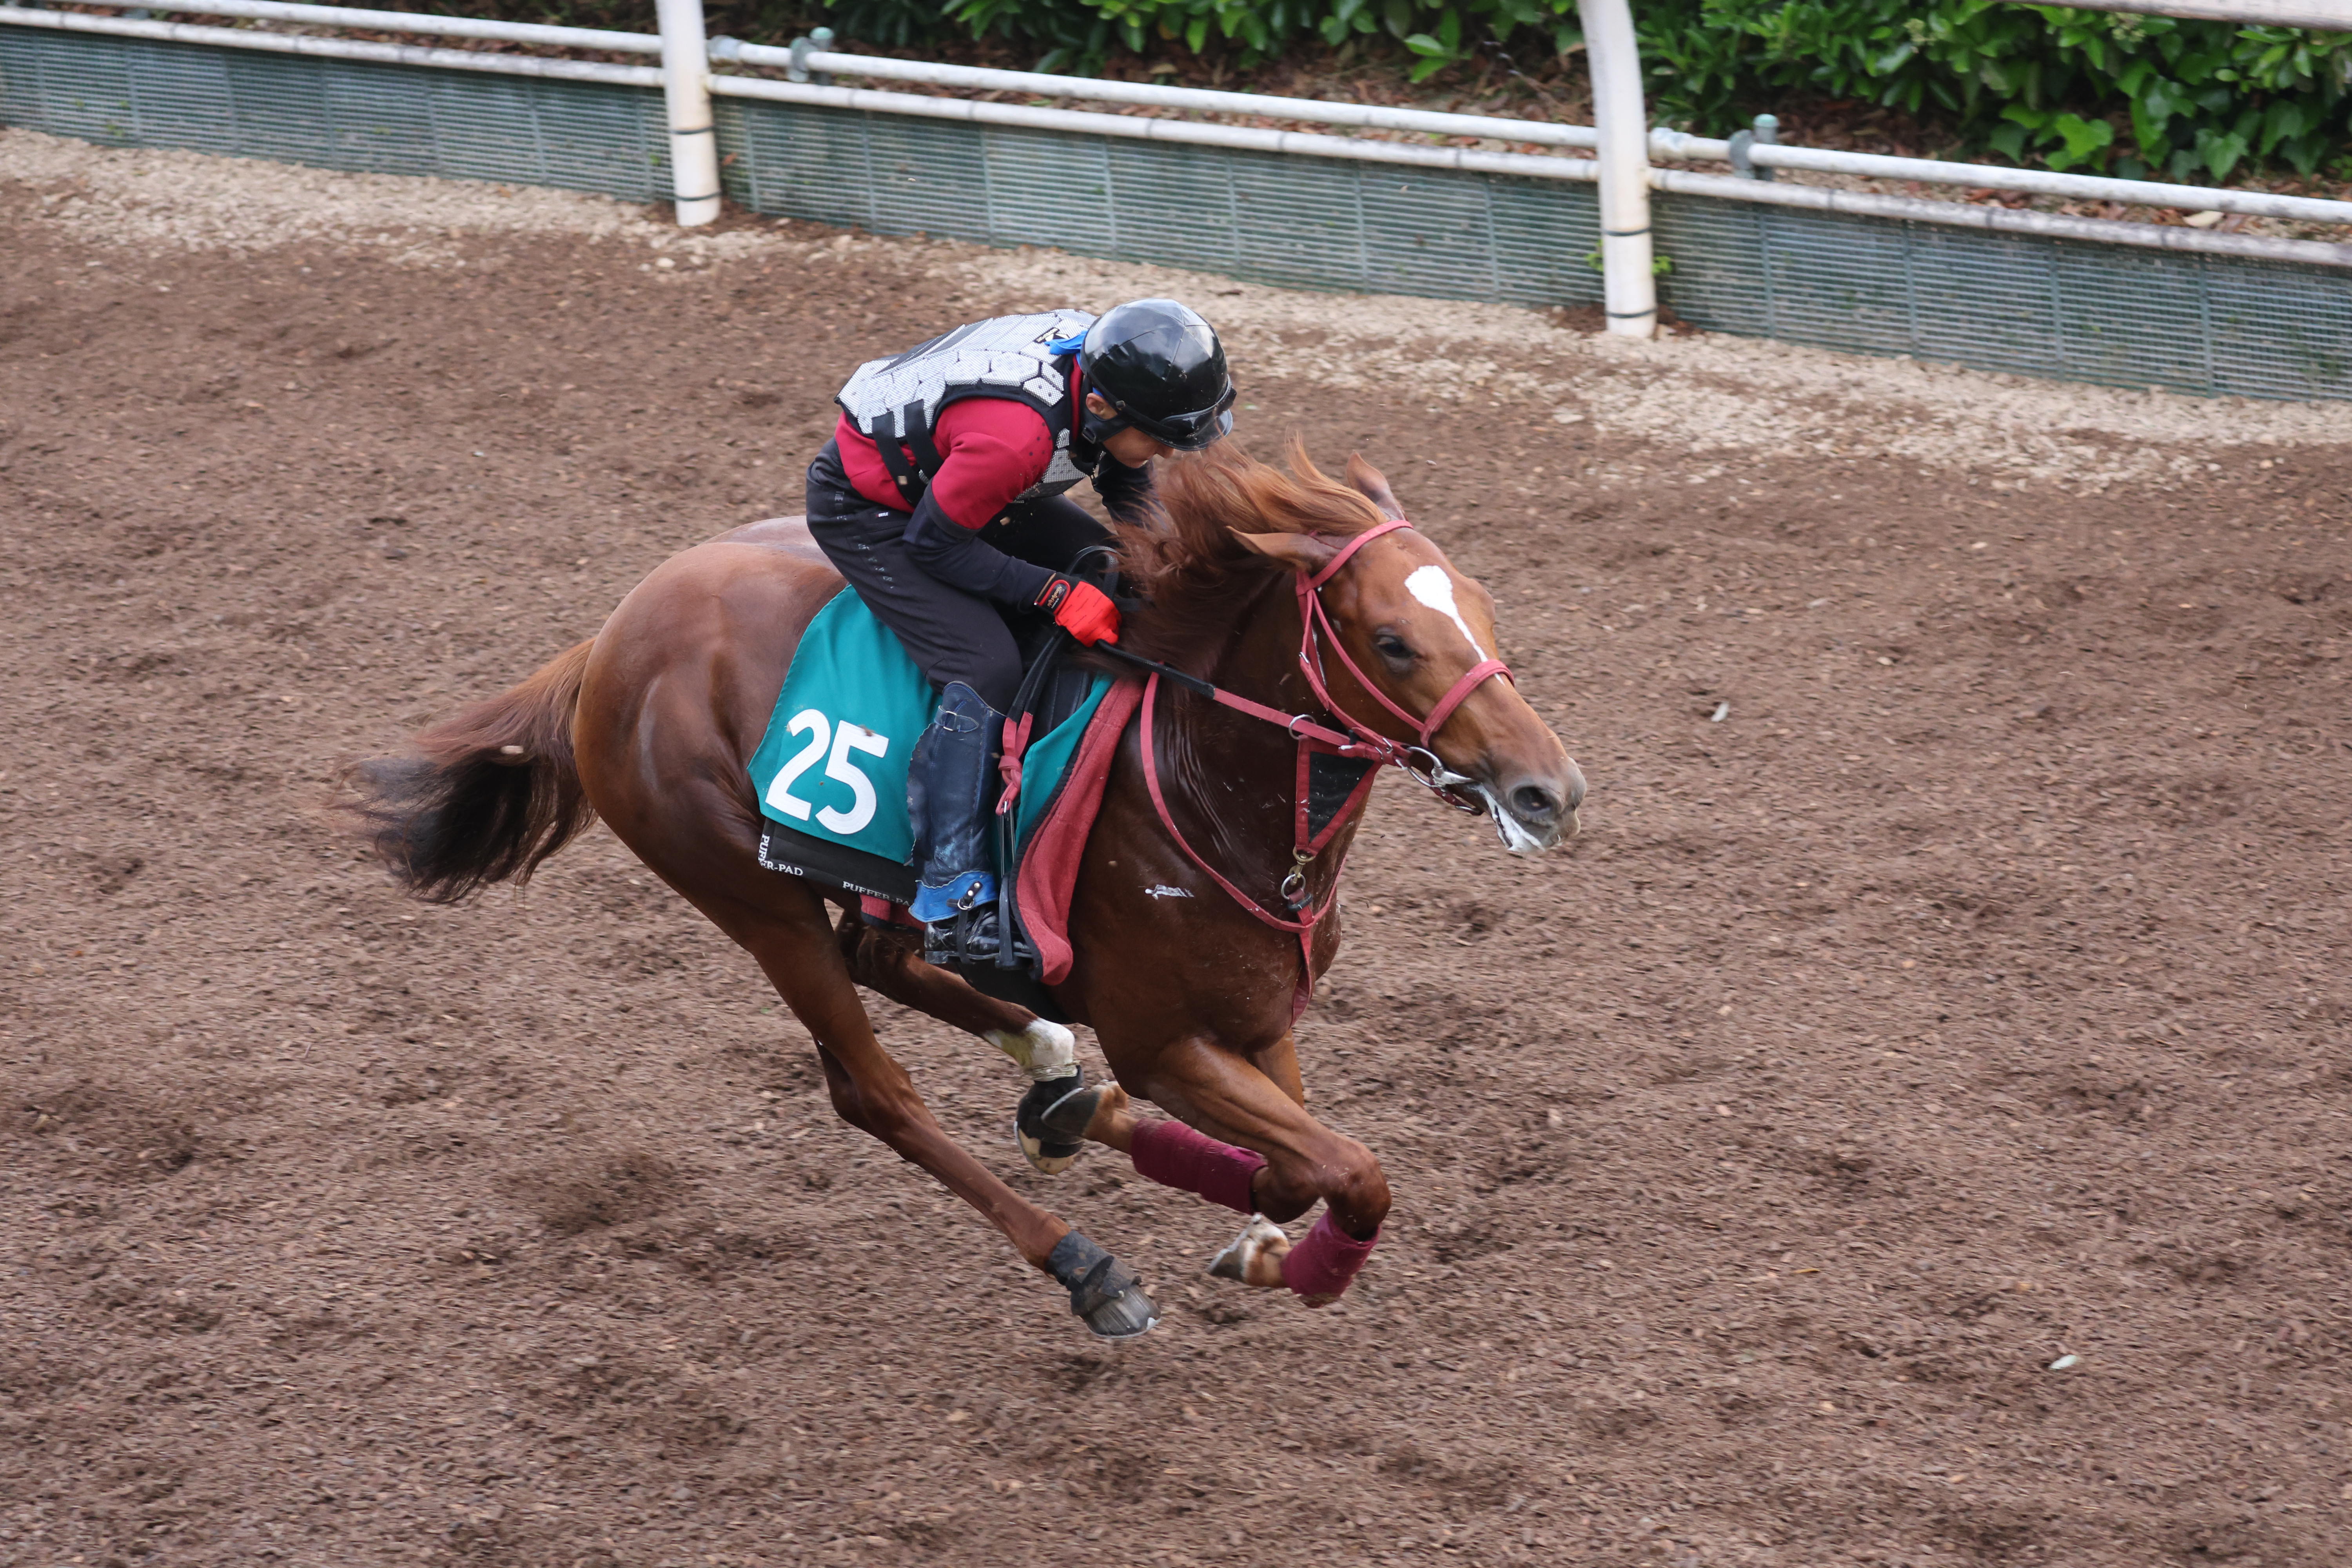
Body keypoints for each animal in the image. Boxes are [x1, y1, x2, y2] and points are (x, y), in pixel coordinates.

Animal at [350, 442, 1583, 1337]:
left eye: (1481, 606)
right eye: (1393, 640)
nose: (1550, 789)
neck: (1196, 774)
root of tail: (609, 639)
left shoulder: (1257, 1018)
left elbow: (1295, 1172)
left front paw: (1205, 1200)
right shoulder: (1165, 1040)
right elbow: (1351, 1171)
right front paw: (1307, 1266)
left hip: (874, 890)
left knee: (894, 962)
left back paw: (1050, 1073)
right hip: (751, 897)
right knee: (872, 1087)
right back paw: (1082, 1260)